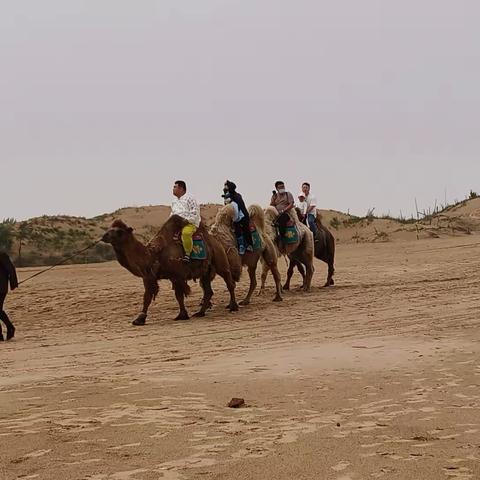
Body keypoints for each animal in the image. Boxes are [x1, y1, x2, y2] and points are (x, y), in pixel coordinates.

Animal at [102, 218, 239, 326]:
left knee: (229, 282)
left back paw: (233, 306)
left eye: (119, 231)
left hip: (220, 260)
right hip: (206, 270)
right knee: (208, 291)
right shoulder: (149, 277)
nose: (104, 236)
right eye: (109, 229)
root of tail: (215, 240)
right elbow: (147, 297)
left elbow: (179, 295)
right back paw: (200, 313)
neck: (153, 255)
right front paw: (139, 319)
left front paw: (182, 315)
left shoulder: (177, 275)